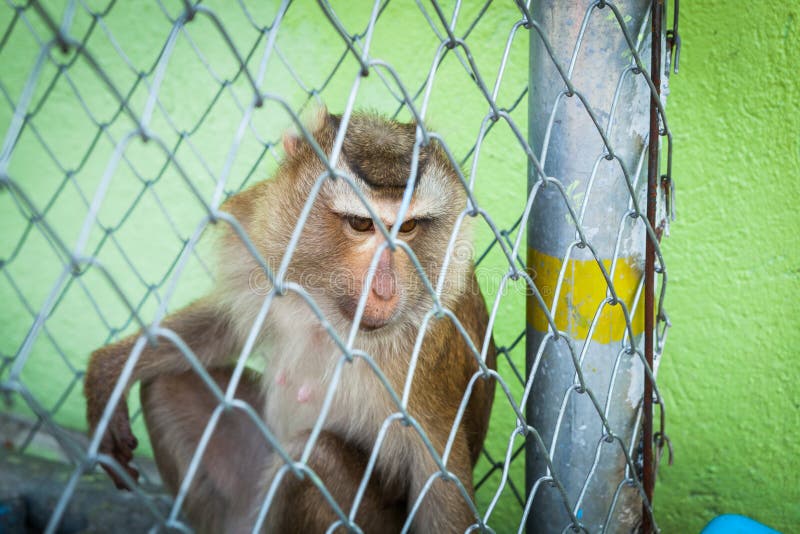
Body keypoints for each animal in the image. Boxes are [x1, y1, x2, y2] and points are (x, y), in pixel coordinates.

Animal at [83, 109, 497, 533]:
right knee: (166, 384)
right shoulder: (260, 245)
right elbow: (224, 327)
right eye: (361, 224)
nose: (383, 290)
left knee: (314, 459)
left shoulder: (427, 357)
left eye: (408, 228)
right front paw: (109, 372)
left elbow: (441, 485)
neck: (328, 309)